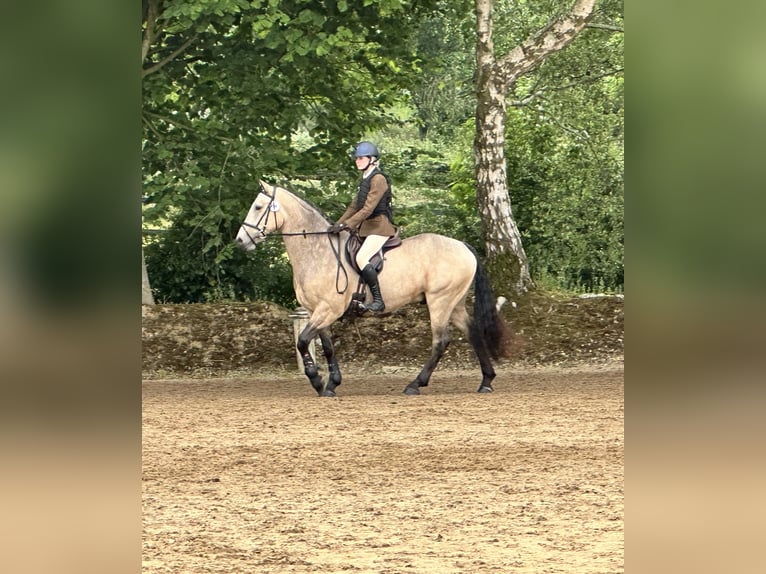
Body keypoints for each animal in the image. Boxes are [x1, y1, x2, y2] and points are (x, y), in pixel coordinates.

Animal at [236, 180, 512, 397]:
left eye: (258, 207)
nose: (240, 240)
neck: (317, 250)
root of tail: (463, 246)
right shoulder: (318, 311)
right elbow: (327, 347)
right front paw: (331, 385)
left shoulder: (328, 309)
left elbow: (303, 342)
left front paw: (316, 380)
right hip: (453, 303)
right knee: (473, 332)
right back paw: (486, 381)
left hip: (440, 301)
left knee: (440, 342)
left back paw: (415, 384)